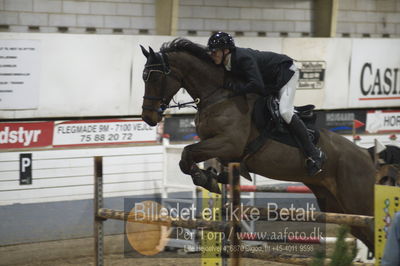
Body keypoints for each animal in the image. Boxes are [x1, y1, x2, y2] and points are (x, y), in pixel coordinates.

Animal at [139, 38, 376, 250]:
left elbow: (188, 153)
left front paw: (205, 178)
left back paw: (315, 159)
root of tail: (366, 155)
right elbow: (189, 160)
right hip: (338, 206)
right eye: (144, 78)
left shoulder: (228, 143)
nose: (147, 117)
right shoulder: (219, 147)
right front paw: (212, 177)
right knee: (365, 234)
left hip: (357, 202)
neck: (218, 95)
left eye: (155, 78)